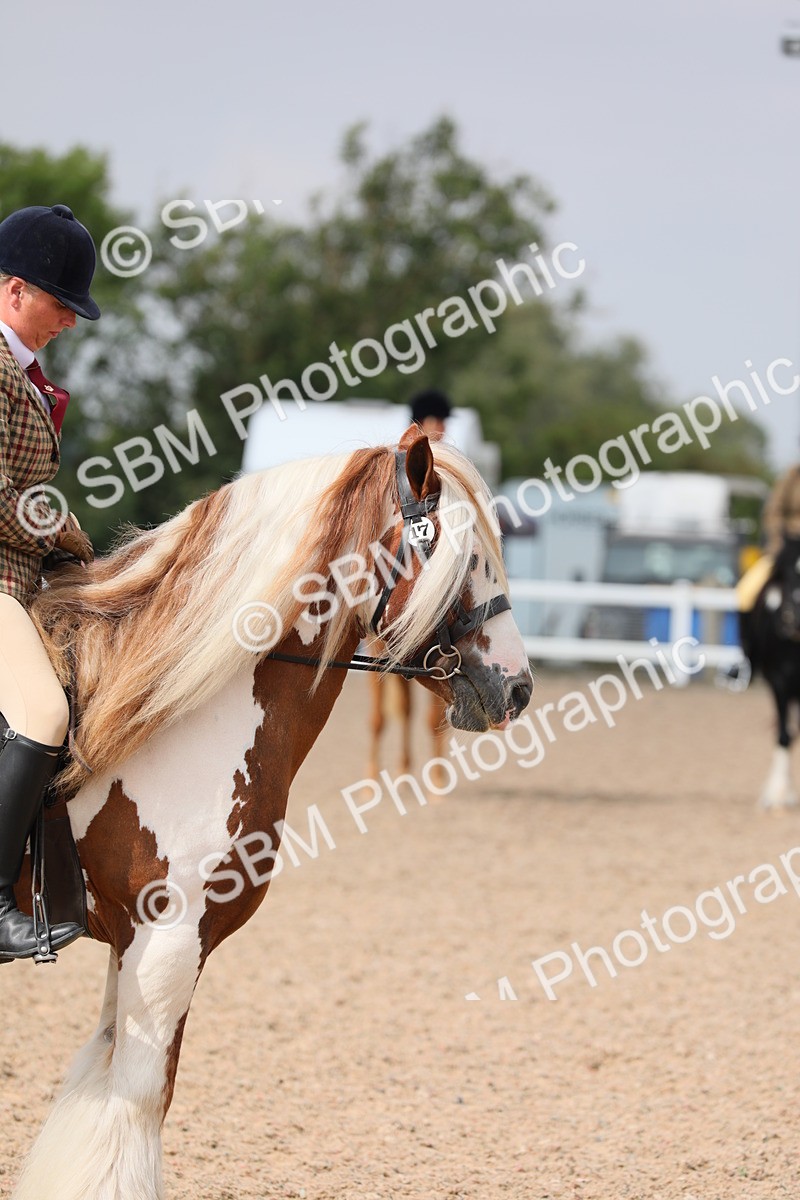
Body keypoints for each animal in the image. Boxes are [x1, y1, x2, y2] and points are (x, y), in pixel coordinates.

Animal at [10, 426, 532, 1200]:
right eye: (469, 557)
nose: (518, 686)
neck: (166, 712)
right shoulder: (171, 941)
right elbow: (136, 1102)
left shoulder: (130, 941)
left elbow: (97, 1082)